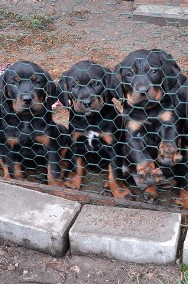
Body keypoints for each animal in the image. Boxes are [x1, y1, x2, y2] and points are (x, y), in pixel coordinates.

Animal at [111, 50, 186, 202]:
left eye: (153, 71)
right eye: (129, 74)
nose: (143, 90)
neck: (148, 110)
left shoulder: (169, 121)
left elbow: (169, 139)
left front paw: (168, 154)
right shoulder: (133, 134)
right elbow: (142, 156)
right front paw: (146, 172)